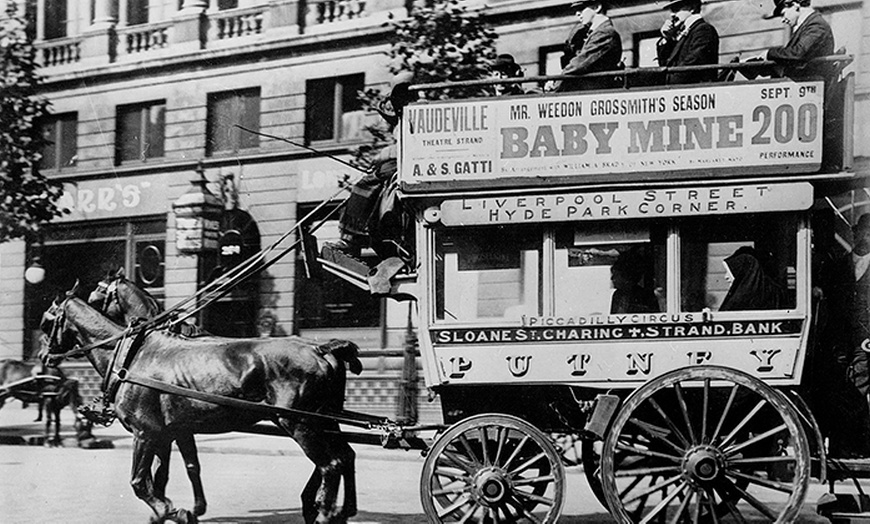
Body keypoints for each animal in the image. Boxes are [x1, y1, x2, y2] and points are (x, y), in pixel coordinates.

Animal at [40, 286, 362, 524]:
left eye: (46, 320)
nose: (43, 356)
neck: (131, 357)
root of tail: (320, 348)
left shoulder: (145, 432)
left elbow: (140, 481)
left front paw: (174, 511)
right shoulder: (172, 431)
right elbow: (175, 471)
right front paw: (175, 511)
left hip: (300, 423)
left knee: (330, 465)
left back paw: (324, 513)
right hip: (325, 420)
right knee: (345, 456)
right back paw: (342, 510)